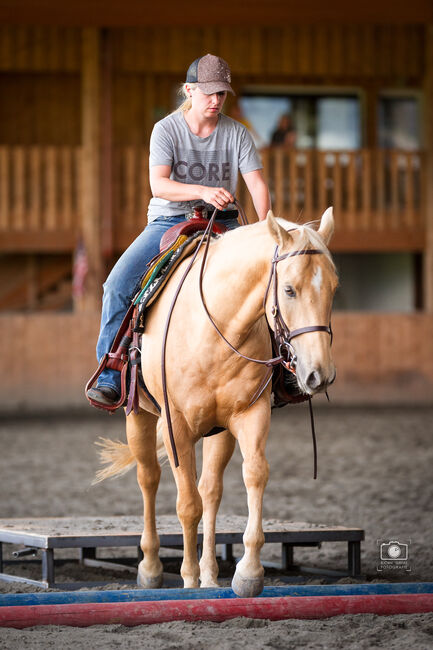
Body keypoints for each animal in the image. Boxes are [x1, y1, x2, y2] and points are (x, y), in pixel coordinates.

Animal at [98, 206, 338, 592]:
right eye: (289, 289)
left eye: (333, 287)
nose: (320, 374)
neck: (215, 326)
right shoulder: (176, 426)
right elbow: (186, 504)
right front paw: (187, 577)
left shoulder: (249, 415)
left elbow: (253, 475)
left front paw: (247, 572)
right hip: (139, 417)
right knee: (149, 478)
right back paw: (150, 567)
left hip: (218, 430)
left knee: (210, 490)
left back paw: (210, 574)